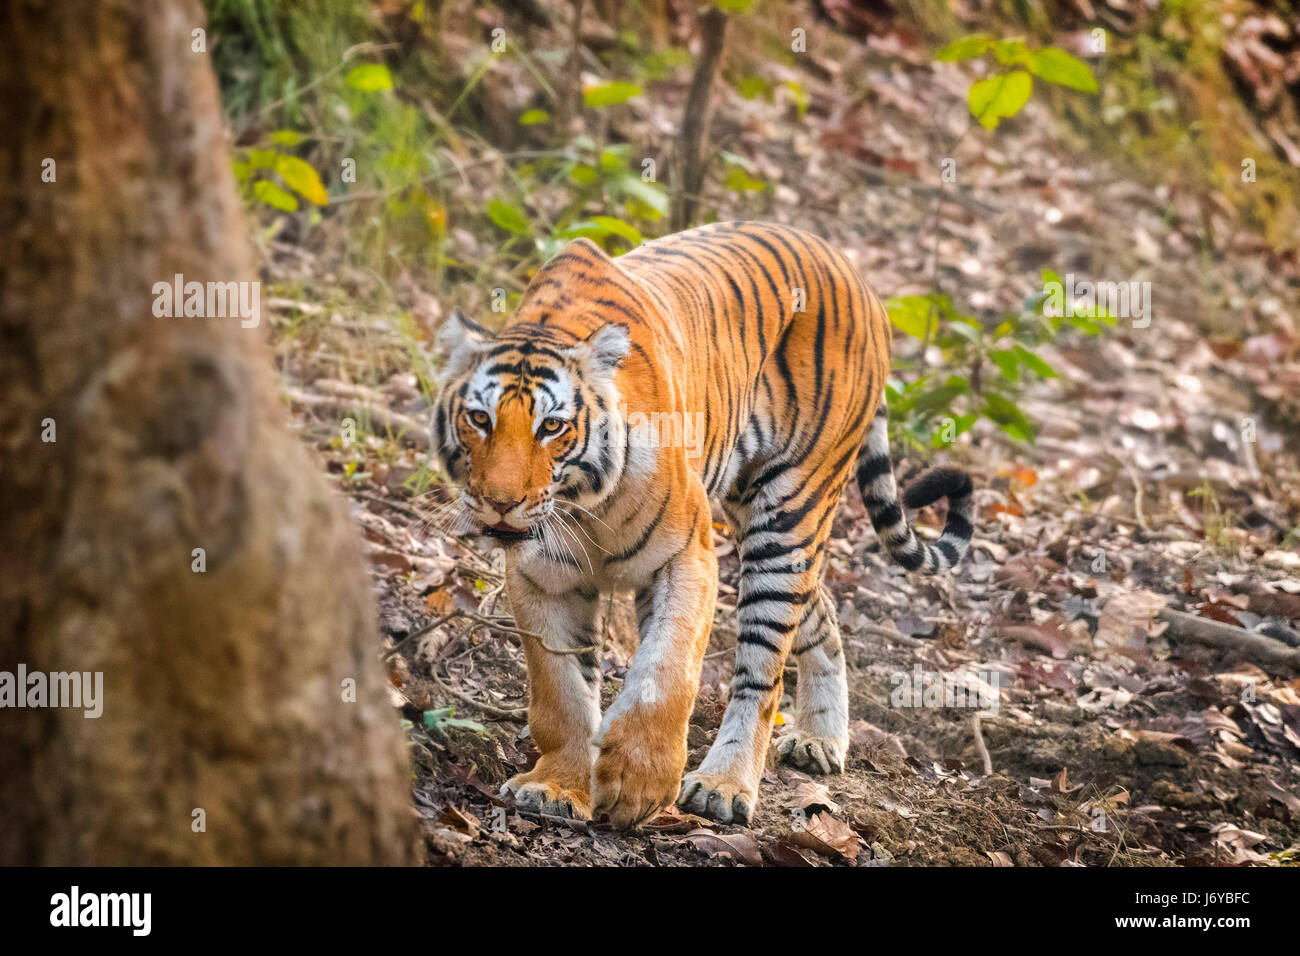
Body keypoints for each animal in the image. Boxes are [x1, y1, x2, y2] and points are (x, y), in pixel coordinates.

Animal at [431, 221, 972, 827]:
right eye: (480, 419)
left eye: (552, 427)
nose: (500, 502)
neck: (585, 506)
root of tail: (855, 273)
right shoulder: (540, 577)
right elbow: (561, 690)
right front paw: (558, 786)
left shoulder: (686, 554)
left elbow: (666, 669)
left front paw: (639, 782)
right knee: (822, 611)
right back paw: (820, 739)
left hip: (789, 516)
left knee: (763, 671)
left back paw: (725, 785)